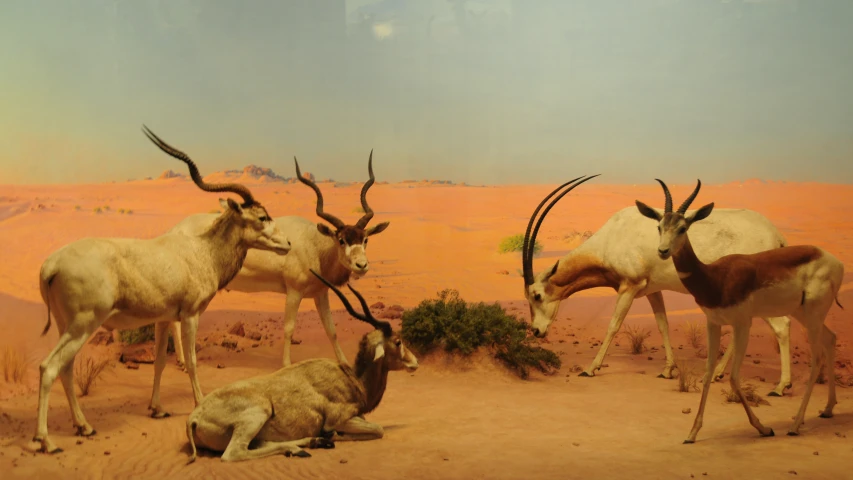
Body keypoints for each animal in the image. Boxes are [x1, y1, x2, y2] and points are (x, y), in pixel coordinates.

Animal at [32, 124, 292, 454]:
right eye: (261, 217)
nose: (287, 244)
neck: (202, 251)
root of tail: (50, 265)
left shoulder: (165, 319)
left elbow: (158, 363)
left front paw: (156, 409)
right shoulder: (191, 316)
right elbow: (191, 361)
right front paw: (198, 403)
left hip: (67, 327)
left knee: (65, 368)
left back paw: (84, 427)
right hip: (83, 325)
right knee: (49, 367)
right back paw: (46, 440)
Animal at [168, 152, 388, 366]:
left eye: (365, 239)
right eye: (341, 240)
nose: (361, 265)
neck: (315, 245)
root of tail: (176, 229)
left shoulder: (320, 293)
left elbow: (331, 329)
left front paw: (343, 363)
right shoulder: (294, 292)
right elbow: (289, 329)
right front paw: (287, 364)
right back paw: (182, 360)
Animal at [185, 270, 418, 462]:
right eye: (398, 341)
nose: (415, 363)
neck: (352, 378)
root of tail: (194, 418)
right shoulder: (340, 420)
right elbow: (378, 429)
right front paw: (333, 435)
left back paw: (308, 444)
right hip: (259, 412)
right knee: (234, 454)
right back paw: (308, 445)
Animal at [524, 174, 796, 396]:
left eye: (536, 295)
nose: (536, 331)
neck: (613, 236)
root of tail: (777, 236)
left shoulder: (629, 287)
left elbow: (613, 325)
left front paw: (591, 368)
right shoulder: (652, 290)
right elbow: (662, 324)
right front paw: (668, 370)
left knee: (782, 326)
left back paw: (781, 386)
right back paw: (718, 373)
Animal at [636, 179, 844, 442]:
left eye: (683, 228)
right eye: (660, 226)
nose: (662, 251)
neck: (715, 277)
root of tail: (836, 262)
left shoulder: (743, 323)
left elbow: (734, 378)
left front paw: (764, 428)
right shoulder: (713, 323)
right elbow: (707, 374)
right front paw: (692, 433)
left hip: (813, 316)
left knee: (816, 359)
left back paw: (795, 424)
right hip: (805, 314)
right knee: (831, 338)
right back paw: (827, 409)